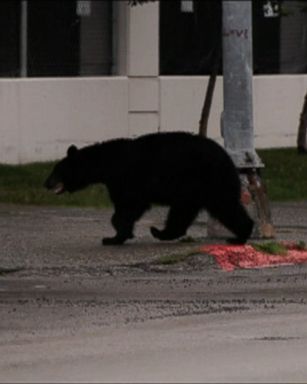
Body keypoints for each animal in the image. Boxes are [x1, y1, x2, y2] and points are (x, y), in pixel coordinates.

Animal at [44, 133, 254, 246]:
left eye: (57, 170)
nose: (46, 183)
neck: (107, 164)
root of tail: (230, 159)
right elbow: (131, 207)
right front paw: (120, 235)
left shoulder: (126, 180)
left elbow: (128, 206)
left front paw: (114, 237)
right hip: (194, 190)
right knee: (183, 212)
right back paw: (162, 232)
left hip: (209, 181)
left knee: (224, 206)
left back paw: (239, 236)